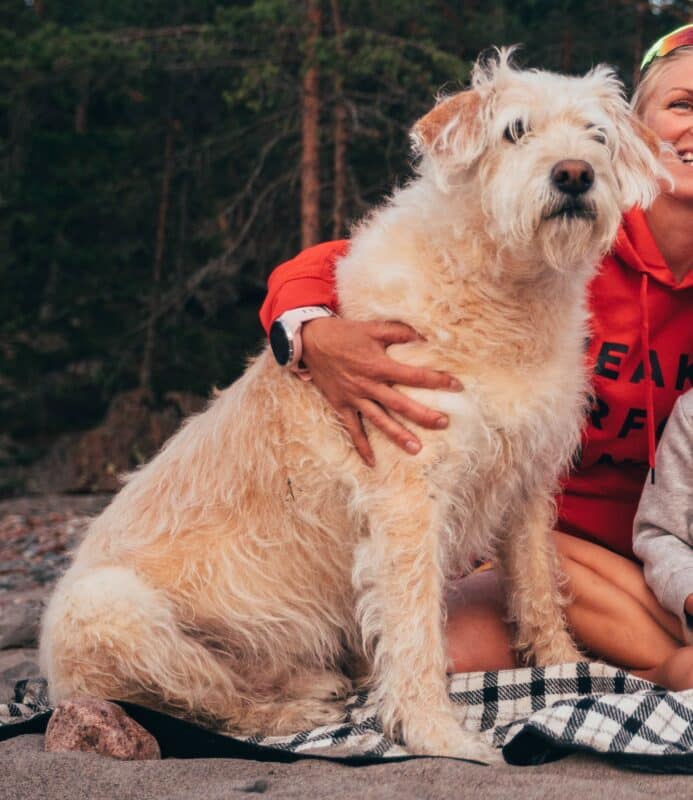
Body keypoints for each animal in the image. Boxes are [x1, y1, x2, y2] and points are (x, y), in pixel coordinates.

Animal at [40, 51, 664, 764]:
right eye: (514, 130)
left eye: (597, 136)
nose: (574, 174)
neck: (505, 292)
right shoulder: (409, 495)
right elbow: (416, 622)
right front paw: (437, 732)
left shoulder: (527, 482)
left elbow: (537, 587)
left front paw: (568, 670)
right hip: (109, 608)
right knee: (211, 702)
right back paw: (298, 710)